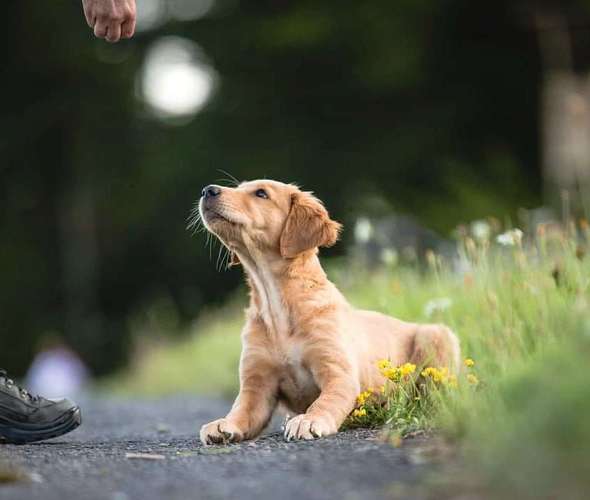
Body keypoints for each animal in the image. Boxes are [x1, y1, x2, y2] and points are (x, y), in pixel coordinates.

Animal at [199, 181, 462, 446]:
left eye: (261, 193)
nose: (208, 190)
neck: (276, 304)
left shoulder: (339, 374)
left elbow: (325, 401)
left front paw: (308, 420)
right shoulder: (257, 385)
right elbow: (242, 410)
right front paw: (223, 424)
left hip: (435, 337)